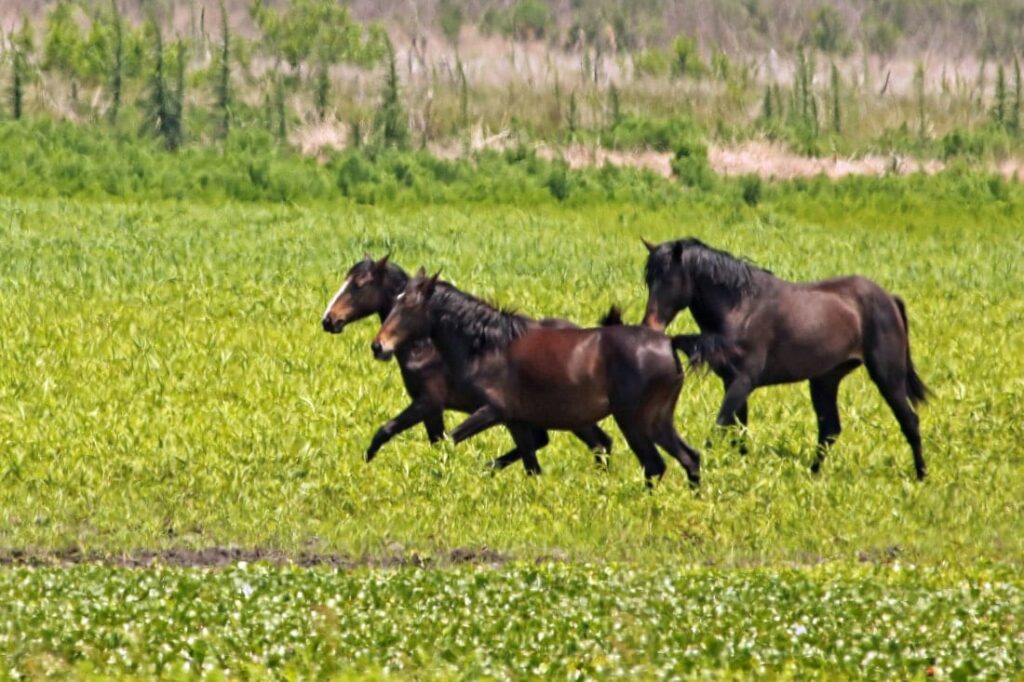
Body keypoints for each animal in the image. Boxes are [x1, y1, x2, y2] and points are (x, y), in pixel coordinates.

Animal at [321, 255, 613, 471]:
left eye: (359, 285)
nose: (328, 320)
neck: (425, 346)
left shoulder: (429, 402)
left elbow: (388, 430)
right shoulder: (432, 409)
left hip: (570, 414)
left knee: (599, 443)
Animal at [371, 269, 719, 486]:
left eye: (409, 306)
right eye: (395, 301)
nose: (378, 345)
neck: (488, 345)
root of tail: (669, 343)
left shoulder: (491, 411)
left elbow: (448, 440)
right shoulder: (515, 420)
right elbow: (531, 466)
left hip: (632, 420)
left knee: (653, 464)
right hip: (658, 420)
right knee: (689, 458)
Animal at [641, 237, 929, 480]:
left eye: (668, 279)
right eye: (649, 281)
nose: (650, 325)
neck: (741, 308)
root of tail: (889, 298)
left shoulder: (743, 382)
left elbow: (720, 427)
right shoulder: (732, 383)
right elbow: (739, 431)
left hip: (887, 377)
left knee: (909, 421)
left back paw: (921, 476)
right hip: (825, 380)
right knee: (830, 430)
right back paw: (813, 475)